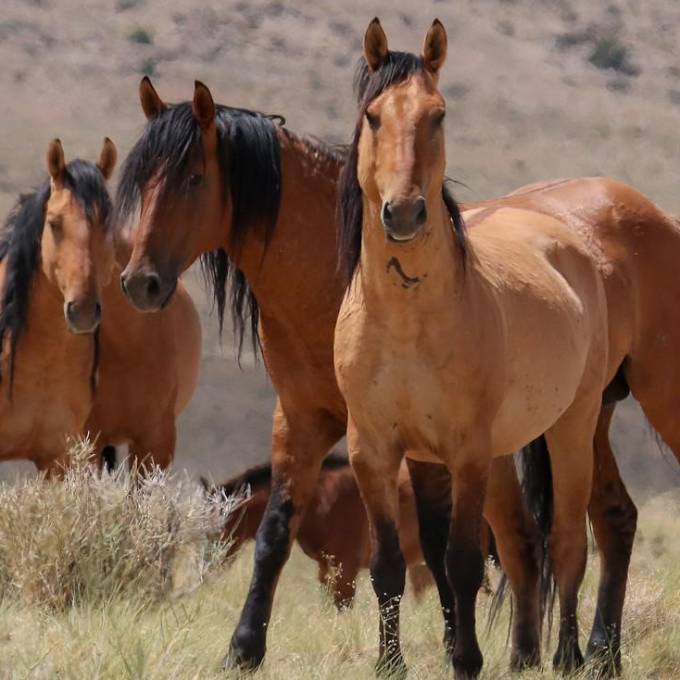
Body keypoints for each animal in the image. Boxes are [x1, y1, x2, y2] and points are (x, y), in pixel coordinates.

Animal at [334, 19, 611, 679]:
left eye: (438, 115)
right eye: (373, 116)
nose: (405, 212)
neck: (405, 321)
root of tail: (567, 239)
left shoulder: (466, 453)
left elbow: (460, 562)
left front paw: (465, 660)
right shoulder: (373, 451)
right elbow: (389, 566)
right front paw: (390, 664)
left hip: (573, 424)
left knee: (567, 541)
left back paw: (566, 655)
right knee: (524, 543)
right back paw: (527, 656)